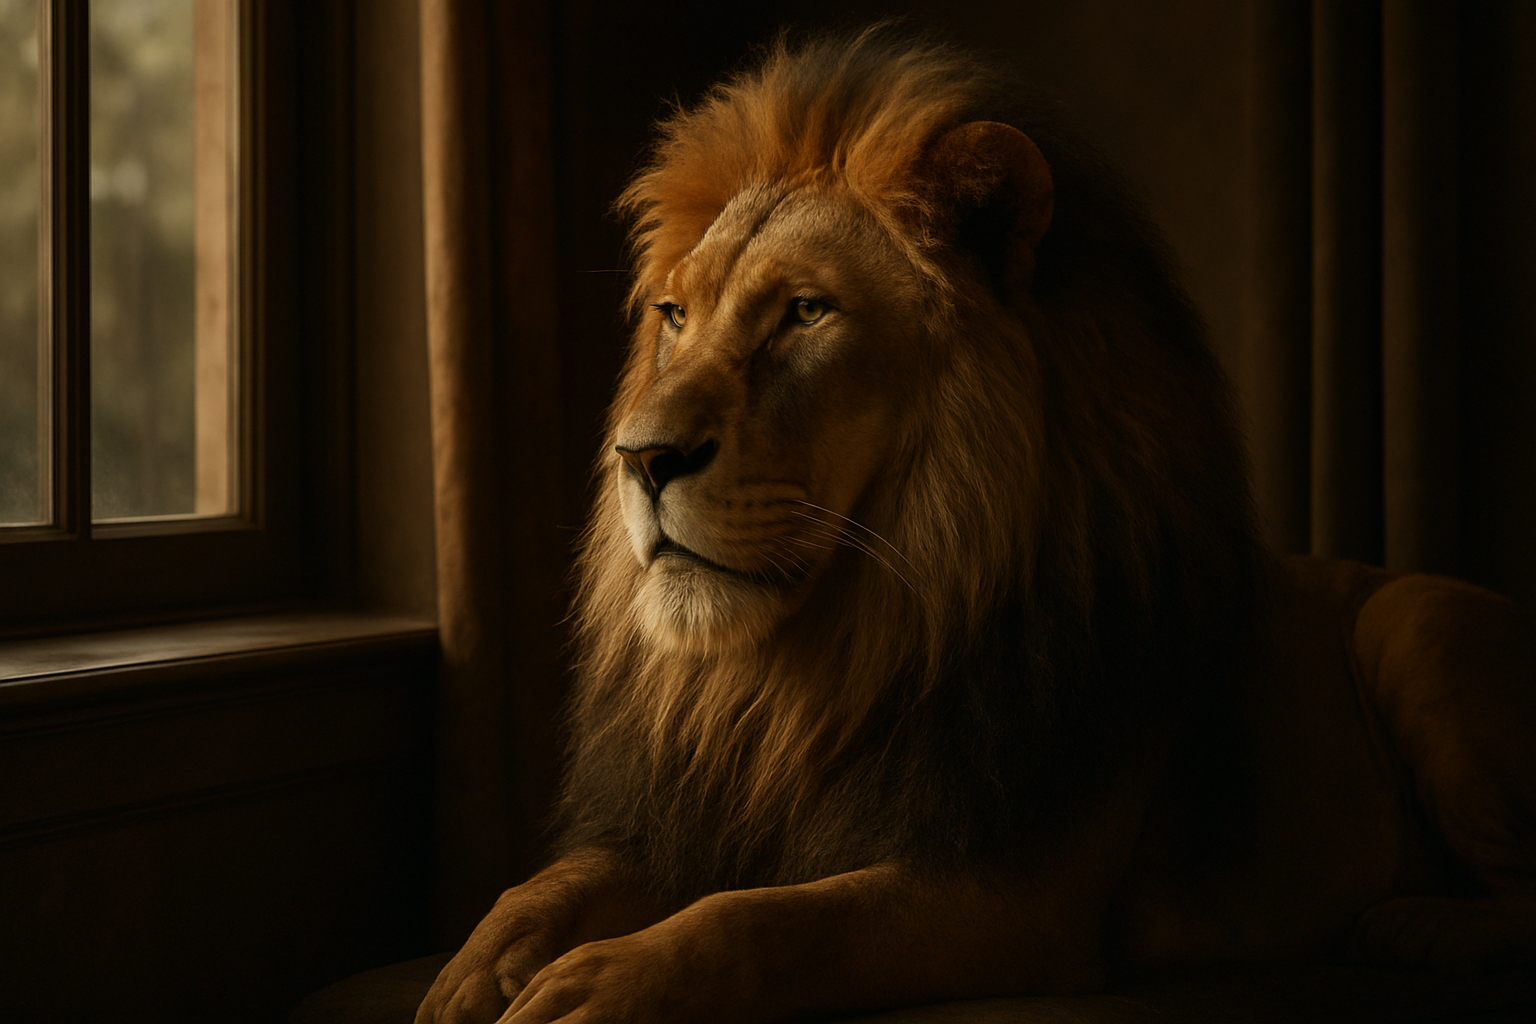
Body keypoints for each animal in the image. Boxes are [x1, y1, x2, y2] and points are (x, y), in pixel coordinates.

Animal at [416, 26, 1536, 1024]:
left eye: (806, 312)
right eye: (673, 317)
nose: (639, 458)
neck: (814, 667)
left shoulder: (1005, 895)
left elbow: (761, 923)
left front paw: (592, 986)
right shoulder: (701, 813)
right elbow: (542, 886)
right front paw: (470, 975)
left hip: (1415, 624)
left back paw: (1418, 925)